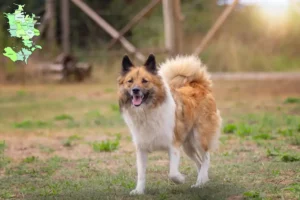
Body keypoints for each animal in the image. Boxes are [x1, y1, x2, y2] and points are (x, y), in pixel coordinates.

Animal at [118, 54, 223, 195]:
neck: (148, 110)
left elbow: (172, 173)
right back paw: (201, 182)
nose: (135, 90)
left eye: (145, 81)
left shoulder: (173, 146)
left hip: (199, 137)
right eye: (130, 81)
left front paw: (181, 179)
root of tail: (199, 85)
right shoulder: (141, 149)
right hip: (187, 145)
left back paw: (201, 180)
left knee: (206, 157)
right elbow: (141, 174)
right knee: (199, 162)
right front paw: (139, 191)